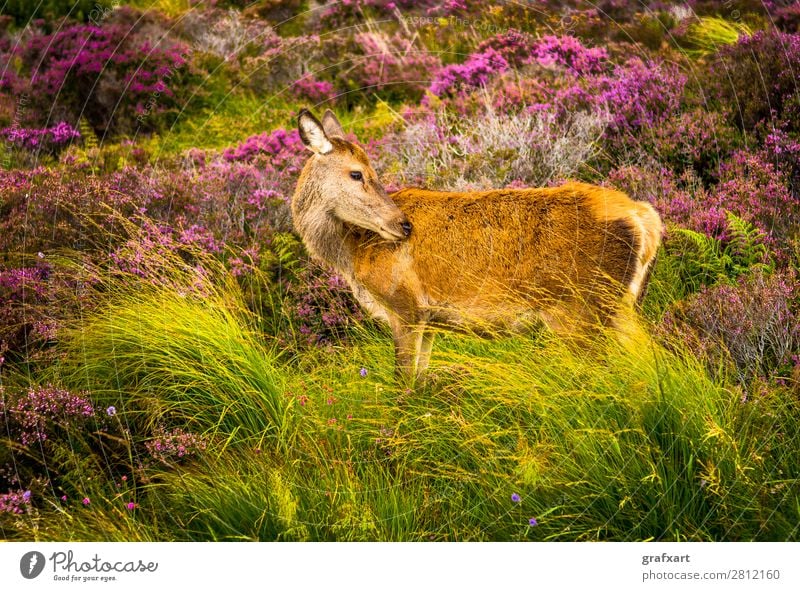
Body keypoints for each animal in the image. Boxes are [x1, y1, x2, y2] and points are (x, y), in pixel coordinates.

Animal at [292, 107, 664, 384]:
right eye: (357, 173)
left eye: (370, 172)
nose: (403, 225)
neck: (353, 253)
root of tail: (646, 219)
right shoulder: (430, 319)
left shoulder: (406, 306)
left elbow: (403, 387)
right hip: (620, 305)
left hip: (583, 308)